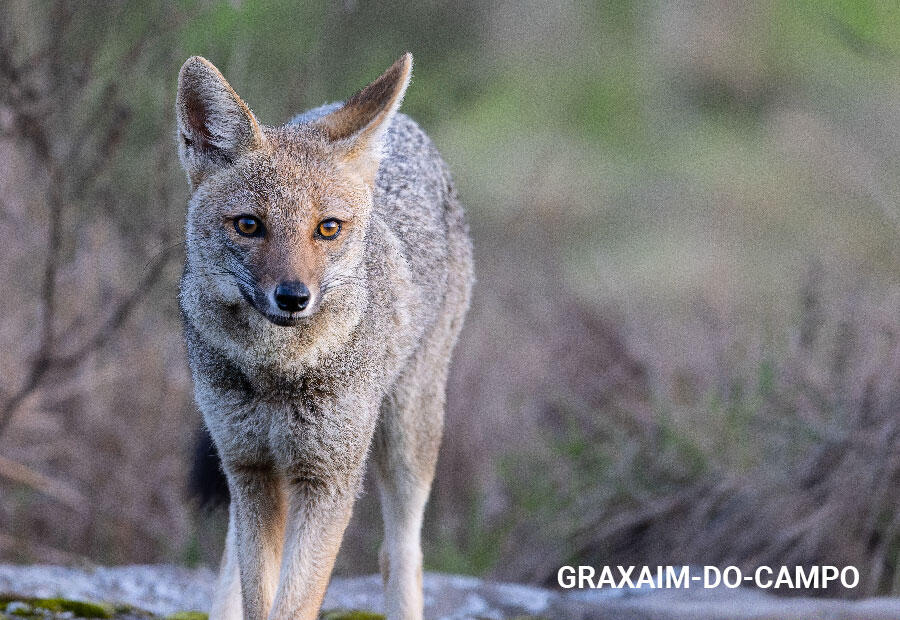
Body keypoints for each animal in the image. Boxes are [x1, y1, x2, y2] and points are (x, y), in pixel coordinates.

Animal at [174, 54, 472, 620]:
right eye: (249, 225)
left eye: (327, 228)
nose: (293, 297)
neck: (275, 369)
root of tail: (408, 127)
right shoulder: (250, 469)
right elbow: (258, 595)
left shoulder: (329, 481)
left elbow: (294, 604)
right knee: (230, 556)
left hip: (407, 436)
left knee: (399, 553)